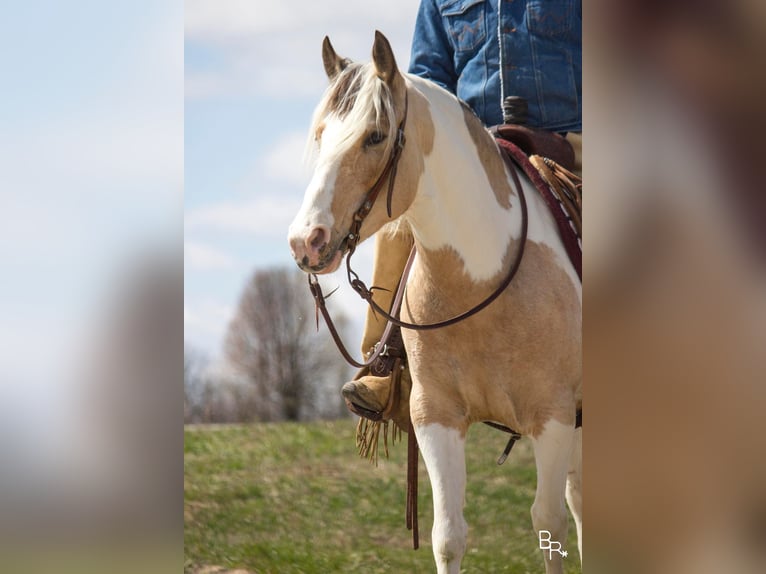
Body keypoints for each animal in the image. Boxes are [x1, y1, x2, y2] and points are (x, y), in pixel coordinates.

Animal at [288, 32, 584, 574]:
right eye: (320, 135)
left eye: (376, 136)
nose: (306, 241)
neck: (482, 279)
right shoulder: (435, 415)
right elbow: (448, 536)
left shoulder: (551, 417)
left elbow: (548, 525)